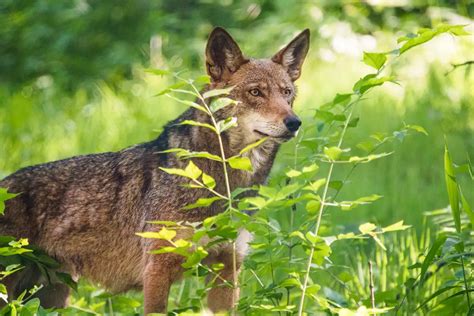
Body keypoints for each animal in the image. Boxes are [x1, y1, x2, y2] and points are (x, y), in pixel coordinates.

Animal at [0, 27, 310, 314]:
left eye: (287, 93)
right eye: (255, 92)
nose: (295, 122)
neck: (218, 181)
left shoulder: (226, 269)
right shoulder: (158, 270)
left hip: (51, 297)